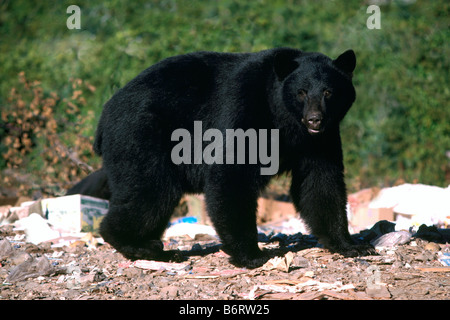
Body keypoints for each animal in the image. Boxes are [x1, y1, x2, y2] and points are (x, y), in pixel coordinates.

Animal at [94, 47, 376, 268]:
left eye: (329, 92)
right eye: (302, 92)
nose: (314, 119)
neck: (284, 118)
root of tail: (104, 116)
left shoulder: (320, 140)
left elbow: (321, 183)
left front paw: (351, 244)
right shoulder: (244, 106)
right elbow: (232, 173)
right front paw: (251, 254)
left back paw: (153, 245)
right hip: (141, 136)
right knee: (150, 191)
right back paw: (139, 245)